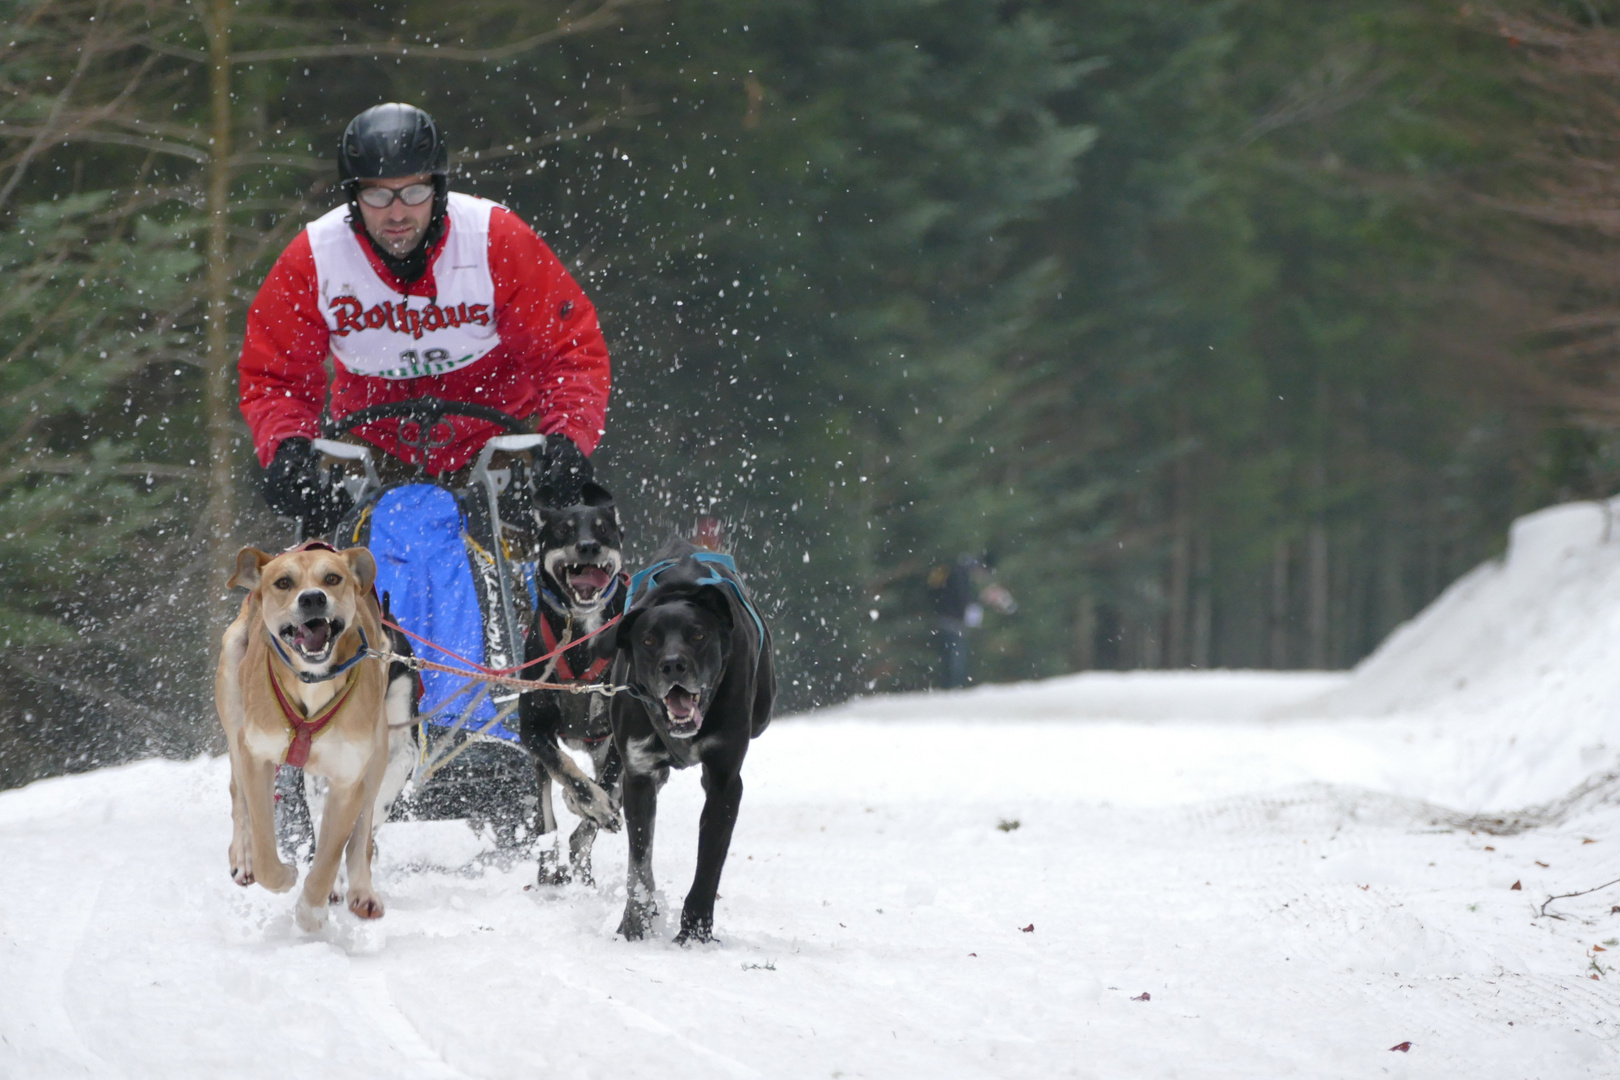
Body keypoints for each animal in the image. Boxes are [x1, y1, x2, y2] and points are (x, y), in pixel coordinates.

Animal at [217, 544, 390, 932]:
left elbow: (329, 856)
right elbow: (266, 850)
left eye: (333, 578)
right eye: (283, 582)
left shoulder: (347, 780)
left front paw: (312, 913)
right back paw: (243, 856)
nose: (313, 598)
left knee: (362, 834)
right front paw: (284, 875)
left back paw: (360, 889)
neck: (313, 681)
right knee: (238, 795)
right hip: (234, 697)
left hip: (380, 751)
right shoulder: (257, 757)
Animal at [518, 482, 625, 887]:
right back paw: (550, 869)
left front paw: (596, 809)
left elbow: (606, 787)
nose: (588, 546)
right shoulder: (532, 730)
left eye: (602, 529)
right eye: (564, 530)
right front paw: (587, 801)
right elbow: (565, 768)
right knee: (546, 819)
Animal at [612, 540, 777, 945]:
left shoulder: (724, 781)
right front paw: (634, 926)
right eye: (649, 640)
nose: (673, 664)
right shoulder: (637, 774)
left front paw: (694, 935)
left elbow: (708, 865)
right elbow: (639, 864)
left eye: (698, 635)